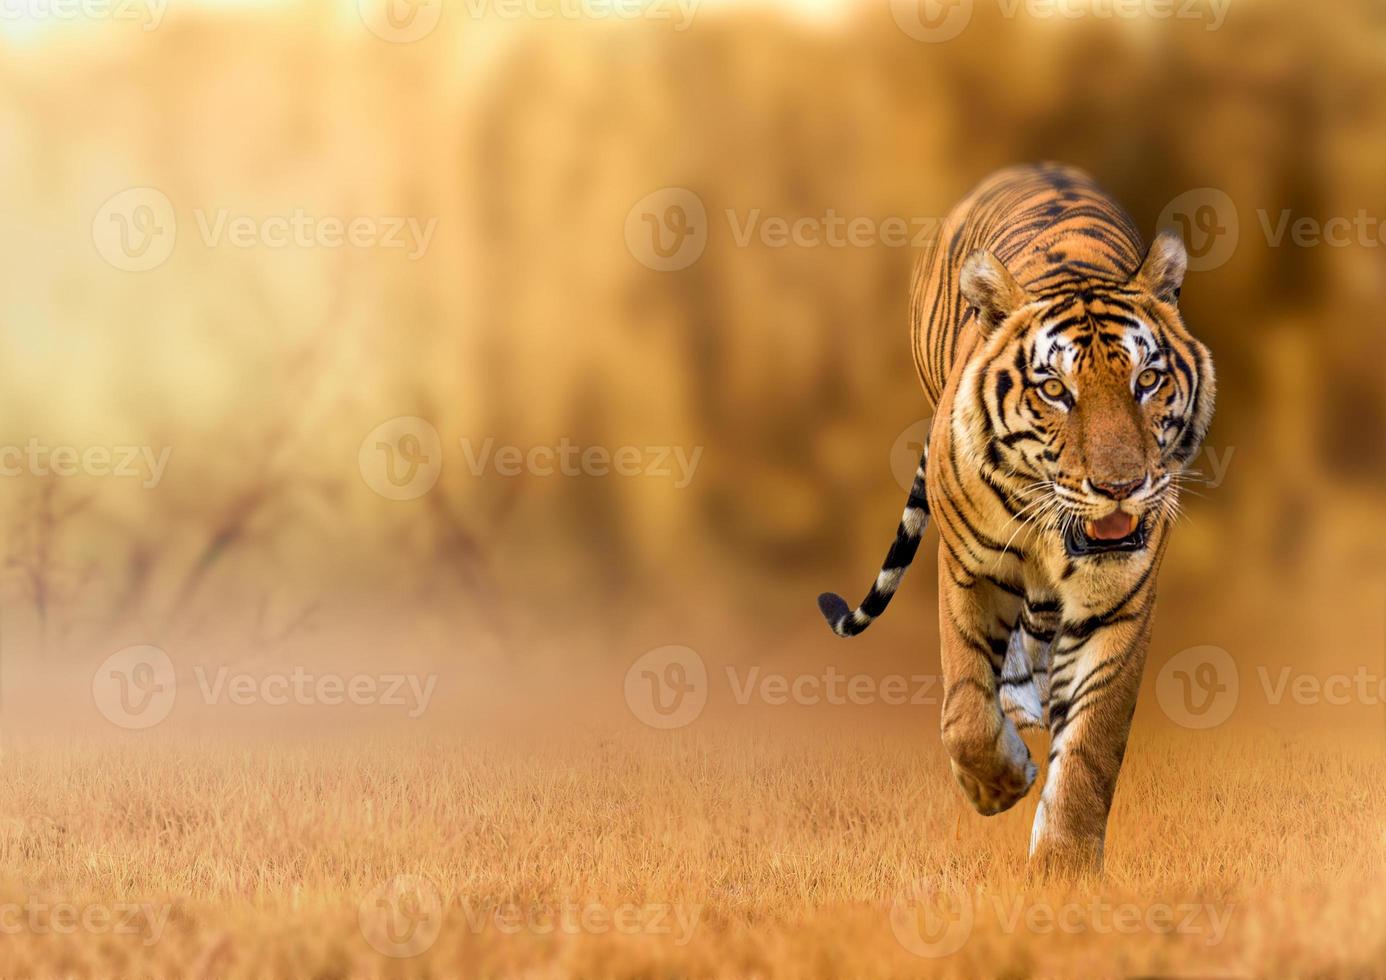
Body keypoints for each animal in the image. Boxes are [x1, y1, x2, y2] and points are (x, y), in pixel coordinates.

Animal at [814, 164, 1219, 876]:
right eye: (1055, 390)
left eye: (1147, 381)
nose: (1121, 487)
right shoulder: (969, 568)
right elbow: (966, 712)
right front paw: (997, 786)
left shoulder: (1121, 600)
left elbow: (1091, 745)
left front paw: (1063, 872)